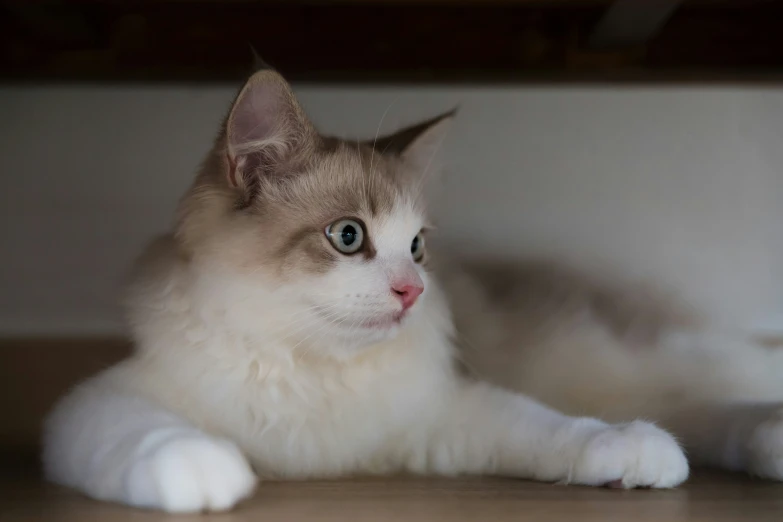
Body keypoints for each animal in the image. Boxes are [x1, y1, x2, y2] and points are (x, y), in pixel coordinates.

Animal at [43, 66, 783, 512]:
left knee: (713, 388)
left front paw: (628, 449)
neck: (313, 372)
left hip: (618, 358)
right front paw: (202, 470)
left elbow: (551, 427)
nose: (412, 292)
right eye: (348, 236)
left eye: (418, 247)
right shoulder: (97, 404)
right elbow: (150, 434)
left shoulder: (446, 408)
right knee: (700, 408)